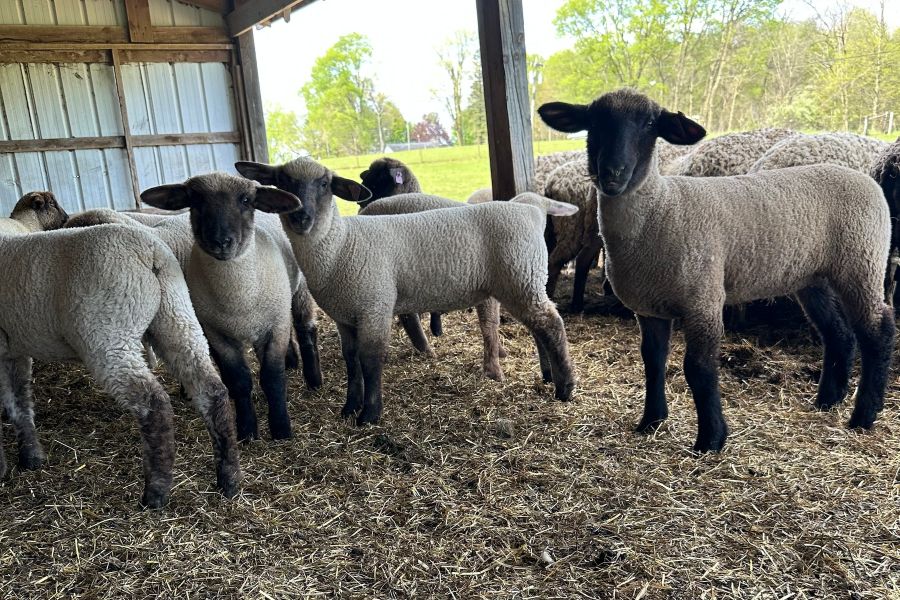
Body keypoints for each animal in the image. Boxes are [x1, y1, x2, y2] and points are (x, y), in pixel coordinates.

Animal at [0, 224, 240, 507]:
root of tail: (149, 251)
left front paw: (3, 467)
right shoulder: (13, 350)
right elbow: (19, 402)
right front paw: (31, 457)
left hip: (109, 330)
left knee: (153, 403)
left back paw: (155, 493)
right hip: (176, 314)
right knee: (211, 390)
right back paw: (228, 479)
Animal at [67, 175, 322, 442]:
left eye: (245, 200)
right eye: (196, 200)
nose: (221, 241)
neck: (238, 296)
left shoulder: (276, 326)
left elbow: (272, 378)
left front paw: (281, 429)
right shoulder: (217, 334)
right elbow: (239, 381)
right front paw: (246, 430)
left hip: (298, 290)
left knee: (305, 328)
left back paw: (313, 379)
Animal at [359, 193, 507, 380]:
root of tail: (364, 211)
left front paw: (501, 354)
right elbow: (489, 324)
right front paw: (495, 372)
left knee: (407, 316)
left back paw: (425, 350)